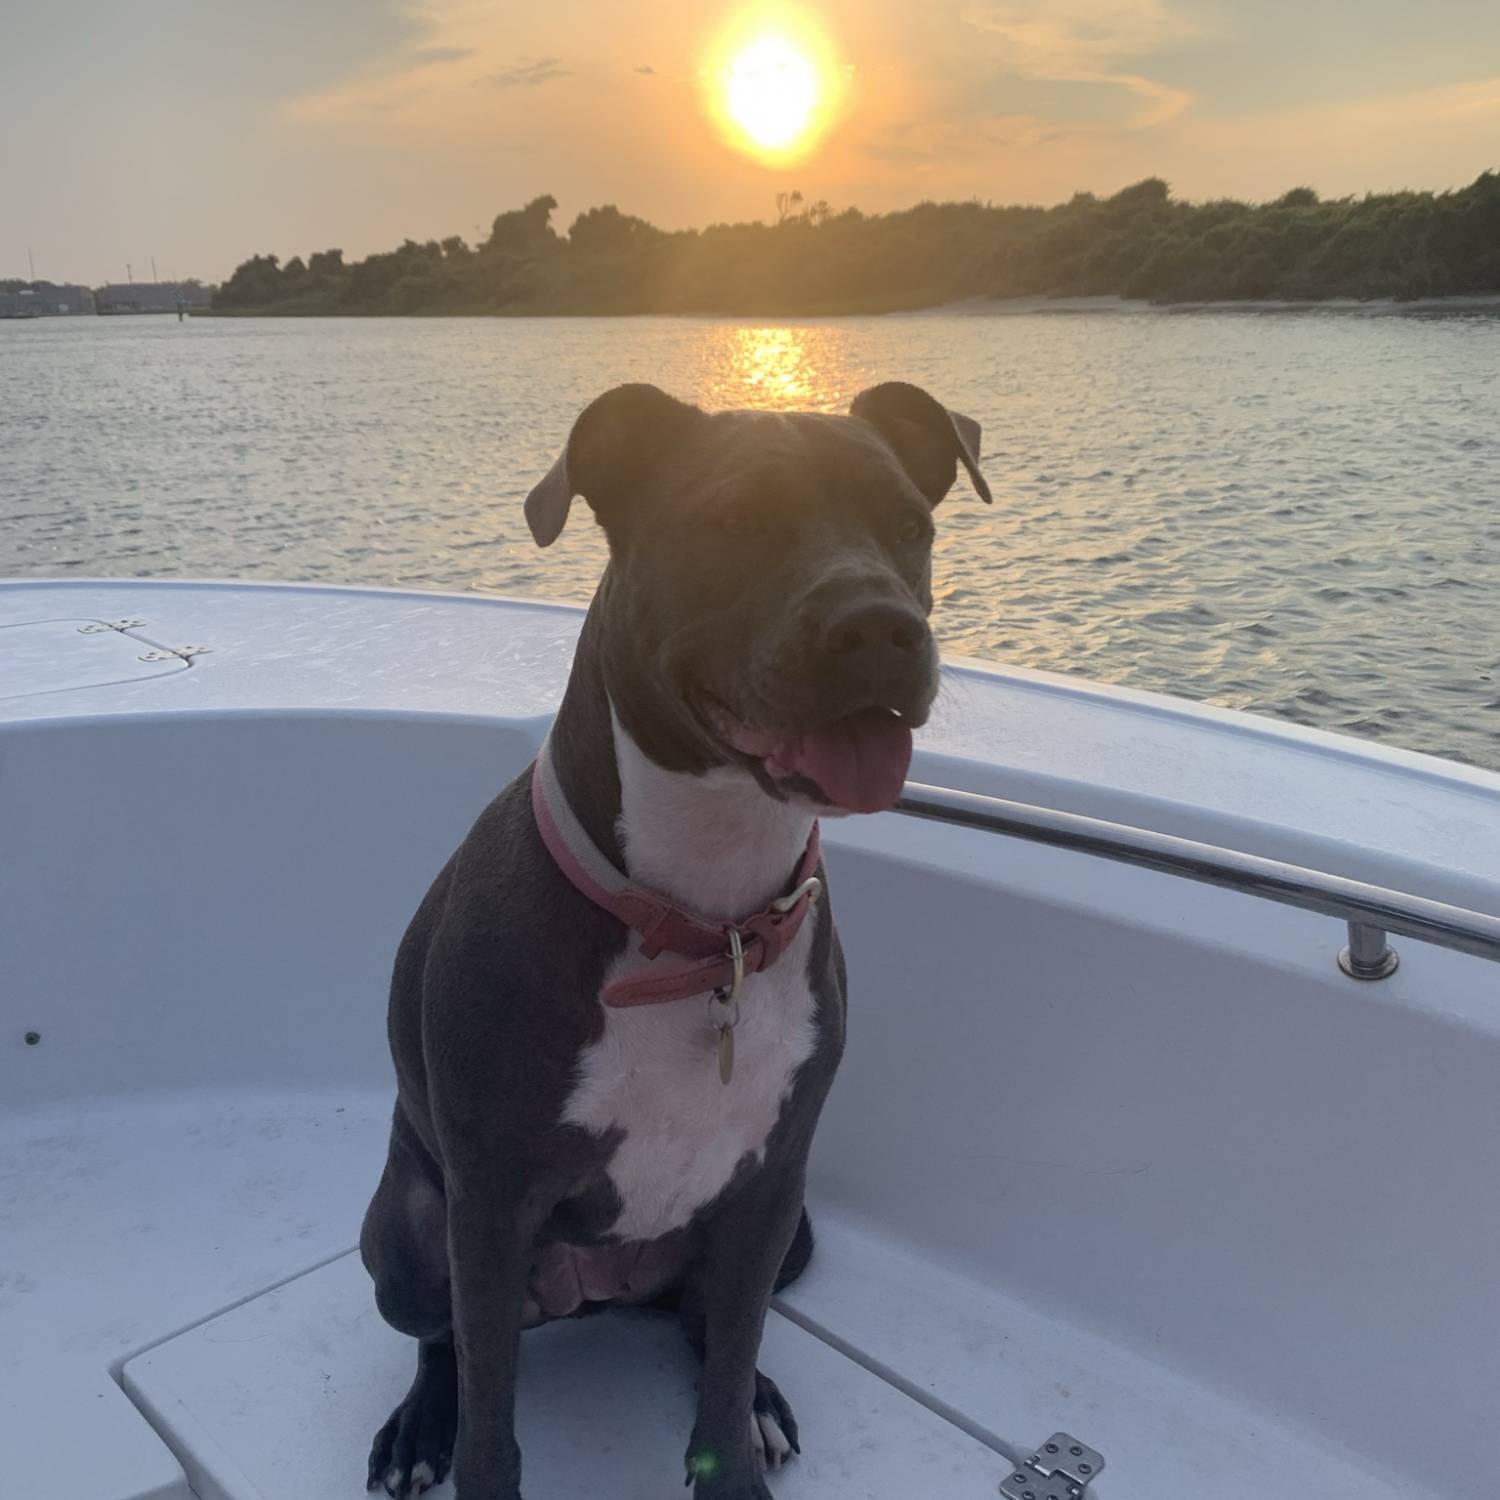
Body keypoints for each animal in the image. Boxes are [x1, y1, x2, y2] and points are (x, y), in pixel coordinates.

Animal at [357, 381, 990, 1500]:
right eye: (734, 520)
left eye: (912, 525)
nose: (881, 625)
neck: (705, 924)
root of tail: (596, 1291)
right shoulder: (491, 1205)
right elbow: (490, 1418)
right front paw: (461, 1440)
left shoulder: (772, 1183)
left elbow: (729, 1360)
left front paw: (735, 1453)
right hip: (404, 1239)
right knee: (444, 1340)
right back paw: (421, 1423)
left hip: (787, 1234)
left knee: (705, 1326)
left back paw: (764, 1398)